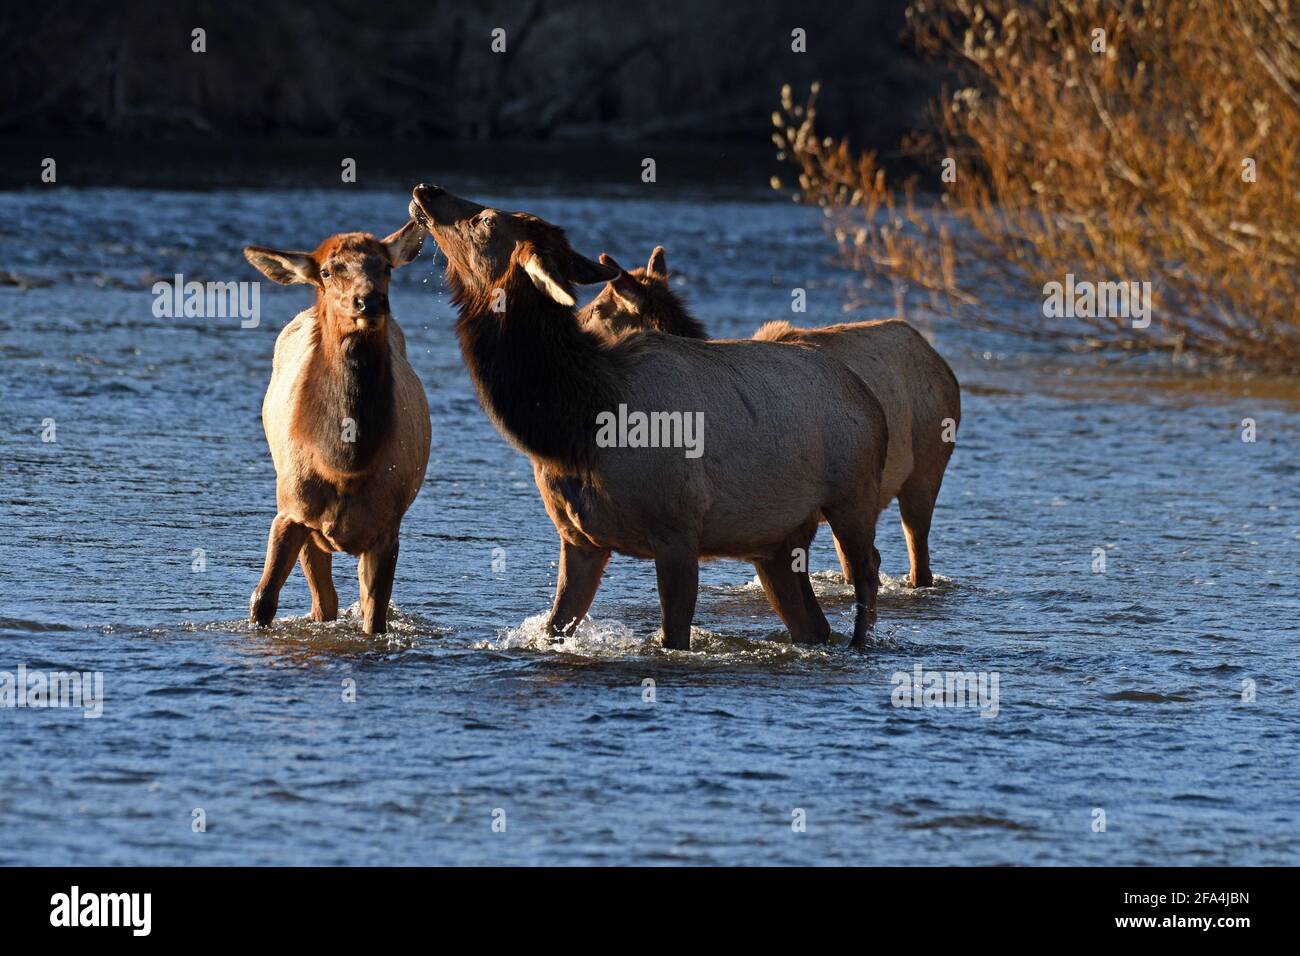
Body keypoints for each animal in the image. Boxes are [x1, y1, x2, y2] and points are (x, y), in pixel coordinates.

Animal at [241, 219, 428, 632]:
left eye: (386, 267)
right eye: (327, 271)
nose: (370, 301)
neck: (345, 462)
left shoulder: (387, 529)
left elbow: (375, 619)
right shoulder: (291, 512)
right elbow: (262, 601)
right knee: (324, 603)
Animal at [410, 182, 889, 650]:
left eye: (488, 220)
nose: (425, 189)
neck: (575, 429)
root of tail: (870, 398)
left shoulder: (678, 531)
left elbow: (673, 637)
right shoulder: (579, 540)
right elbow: (554, 628)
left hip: (853, 497)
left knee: (867, 573)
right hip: (775, 539)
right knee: (813, 625)